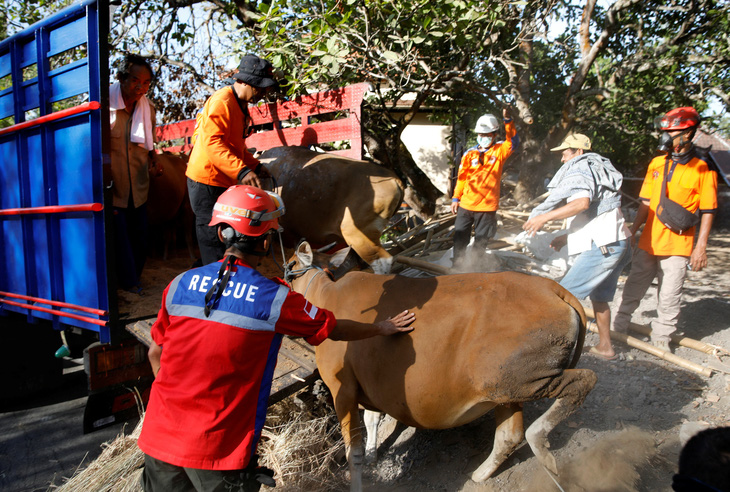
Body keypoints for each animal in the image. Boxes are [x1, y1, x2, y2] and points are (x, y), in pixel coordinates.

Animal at [286, 243, 596, 492]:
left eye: (289, 264)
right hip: (506, 386)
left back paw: (539, 440)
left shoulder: (342, 389)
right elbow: (372, 419)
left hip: (521, 379)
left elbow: (354, 451)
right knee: (509, 435)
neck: (326, 292)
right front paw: (375, 453)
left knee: (583, 381)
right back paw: (482, 473)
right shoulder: (368, 384)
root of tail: (554, 288)